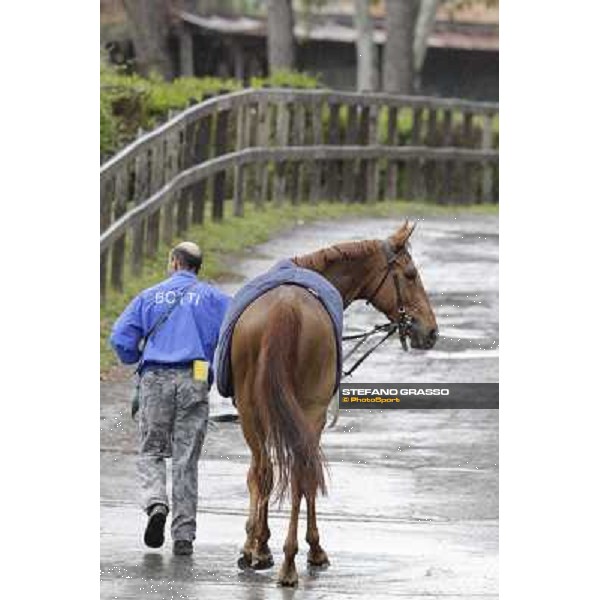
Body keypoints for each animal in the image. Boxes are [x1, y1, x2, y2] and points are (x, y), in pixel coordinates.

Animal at [230, 221, 436, 584]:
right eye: (410, 275)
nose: (431, 331)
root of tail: (286, 309)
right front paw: (306, 548)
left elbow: (262, 475)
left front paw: (257, 546)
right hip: (307, 413)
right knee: (300, 474)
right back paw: (290, 562)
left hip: (253, 414)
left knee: (270, 471)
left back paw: (272, 555)